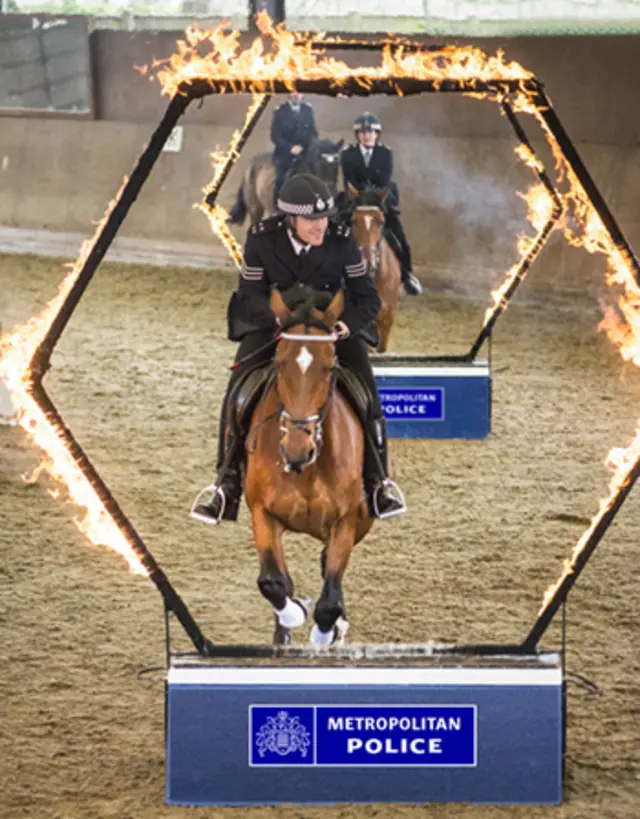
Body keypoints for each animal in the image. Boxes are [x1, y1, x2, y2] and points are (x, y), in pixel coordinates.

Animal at [246, 288, 376, 648]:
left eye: (330, 367)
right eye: (279, 363)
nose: (296, 451)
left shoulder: (347, 521)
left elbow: (329, 600)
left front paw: (326, 631)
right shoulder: (262, 513)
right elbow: (272, 581)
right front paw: (294, 613)